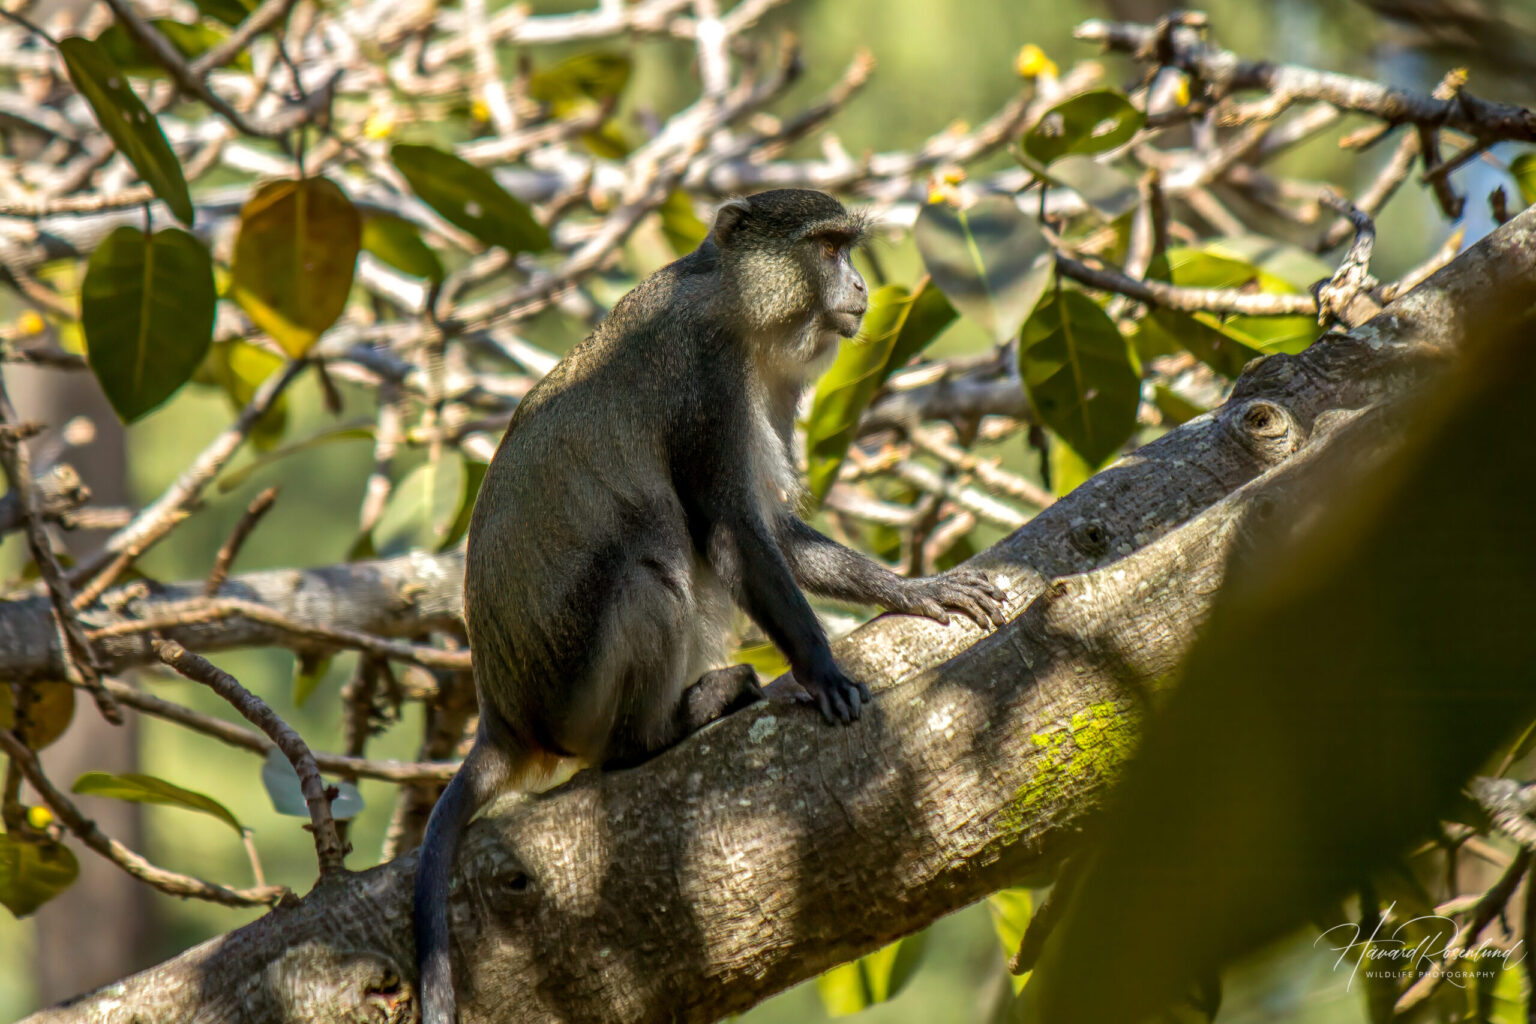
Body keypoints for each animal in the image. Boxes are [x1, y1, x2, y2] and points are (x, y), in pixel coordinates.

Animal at [413, 188, 1007, 1024]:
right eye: (828, 248)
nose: (860, 288)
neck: (731, 299)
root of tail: (504, 722)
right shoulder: (704, 378)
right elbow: (730, 532)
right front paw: (824, 671)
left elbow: (772, 532)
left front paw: (917, 590)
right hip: (576, 696)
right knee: (650, 569)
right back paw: (662, 730)